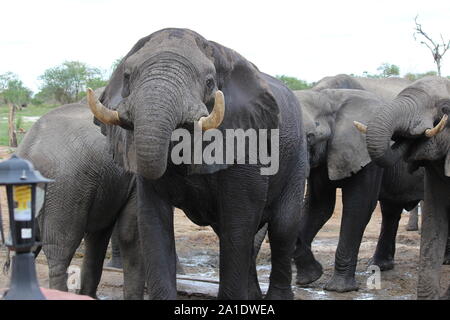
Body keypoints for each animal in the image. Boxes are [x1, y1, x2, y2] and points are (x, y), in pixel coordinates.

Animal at [86, 28, 308, 300]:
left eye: (210, 83)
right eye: (127, 76)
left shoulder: (246, 138)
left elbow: (239, 221)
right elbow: (152, 219)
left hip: (297, 156)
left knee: (283, 227)